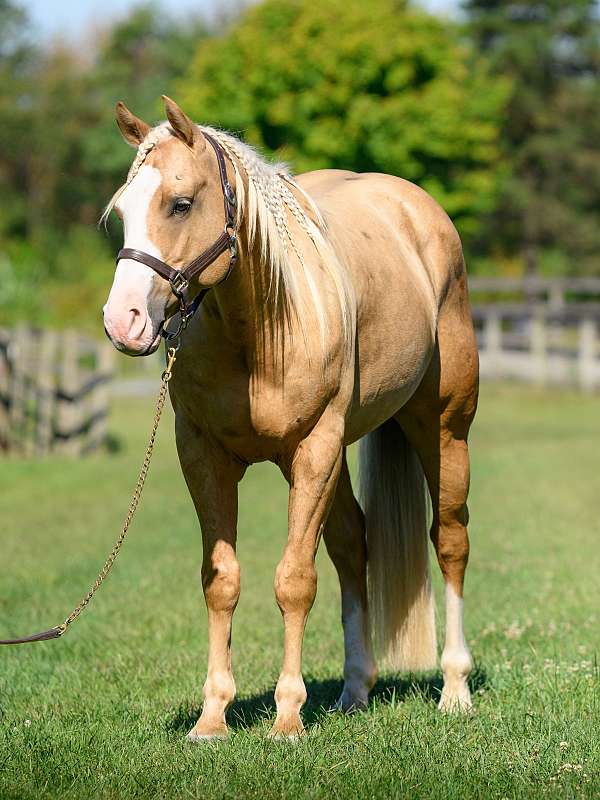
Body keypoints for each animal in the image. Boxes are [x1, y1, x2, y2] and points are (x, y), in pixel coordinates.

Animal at [102, 95, 479, 740]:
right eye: (123, 211)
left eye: (180, 203)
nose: (122, 321)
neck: (257, 332)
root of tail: (416, 208)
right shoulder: (203, 455)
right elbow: (222, 580)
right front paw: (213, 716)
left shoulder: (313, 450)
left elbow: (294, 580)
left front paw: (286, 716)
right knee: (354, 544)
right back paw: (354, 691)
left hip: (442, 430)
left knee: (449, 541)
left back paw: (454, 689)